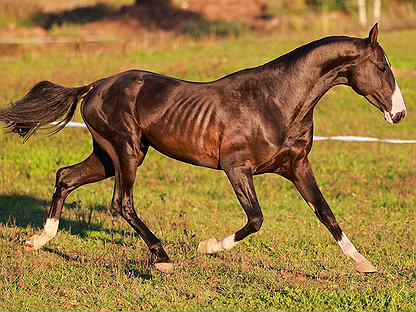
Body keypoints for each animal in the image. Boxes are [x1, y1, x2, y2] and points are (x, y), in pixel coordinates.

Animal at [0, 24, 406, 272]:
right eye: (383, 67)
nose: (399, 114)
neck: (276, 102)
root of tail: (94, 86)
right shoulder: (236, 168)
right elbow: (256, 219)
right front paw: (206, 246)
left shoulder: (297, 166)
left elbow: (326, 213)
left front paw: (365, 264)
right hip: (127, 151)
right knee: (121, 202)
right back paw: (162, 258)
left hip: (108, 155)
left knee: (65, 177)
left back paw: (39, 240)